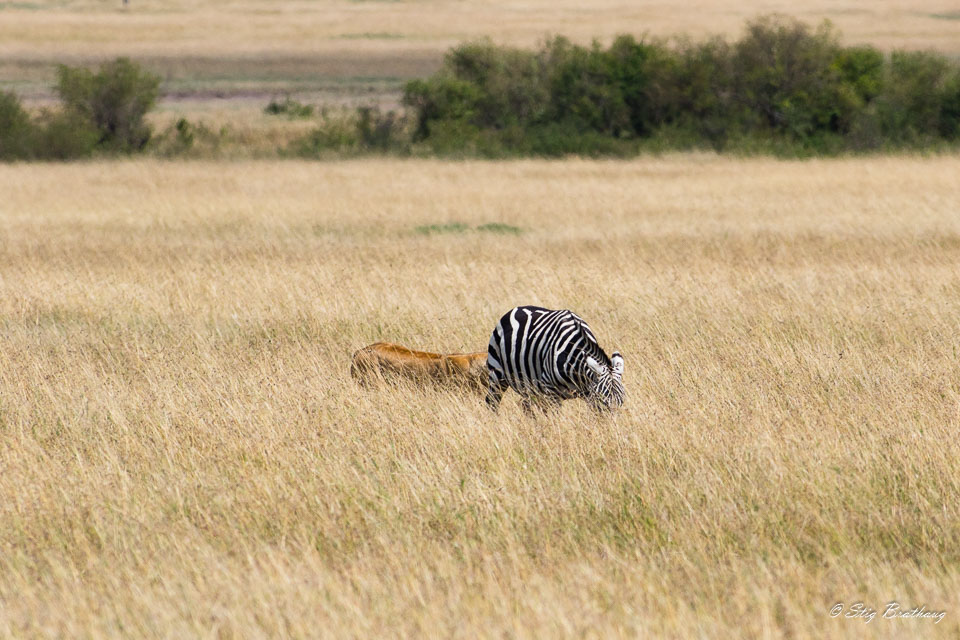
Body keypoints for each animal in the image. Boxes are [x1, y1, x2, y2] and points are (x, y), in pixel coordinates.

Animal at [484, 306, 628, 416]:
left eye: (621, 402)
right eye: (602, 401)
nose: (611, 428)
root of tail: (516, 308)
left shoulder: (588, 393)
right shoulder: (551, 391)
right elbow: (555, 418)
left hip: (530, 387)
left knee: (526, 405)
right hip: (497, 375)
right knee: (492, 402)